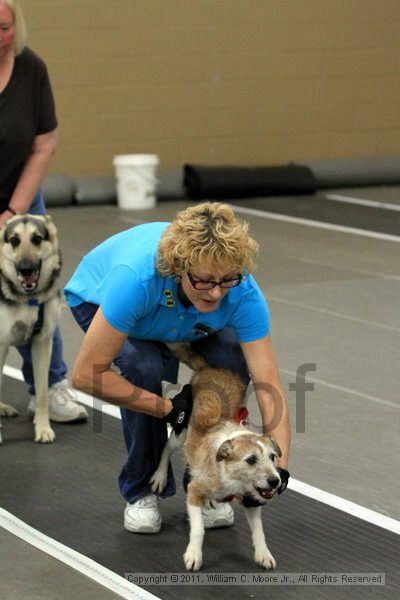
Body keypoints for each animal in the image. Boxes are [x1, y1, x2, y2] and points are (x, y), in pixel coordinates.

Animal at [0, 213, 61, 442]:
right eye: (14, 240)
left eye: (36, 239)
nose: (26, 269)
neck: (28, 299)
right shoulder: (0, 346)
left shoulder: (42, 344)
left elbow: (42, 392)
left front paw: (43, 428)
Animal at [150, 344, 282, 568]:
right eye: (251, 460)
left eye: (272, 457)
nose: (275, 481)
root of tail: (209, 368)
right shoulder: (194, 492)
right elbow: (199, 529)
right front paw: (194, 554)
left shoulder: (252, 500)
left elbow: (259, 531)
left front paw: (263, 553)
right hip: (182, 433)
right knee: (167, 447)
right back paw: (160, 476)